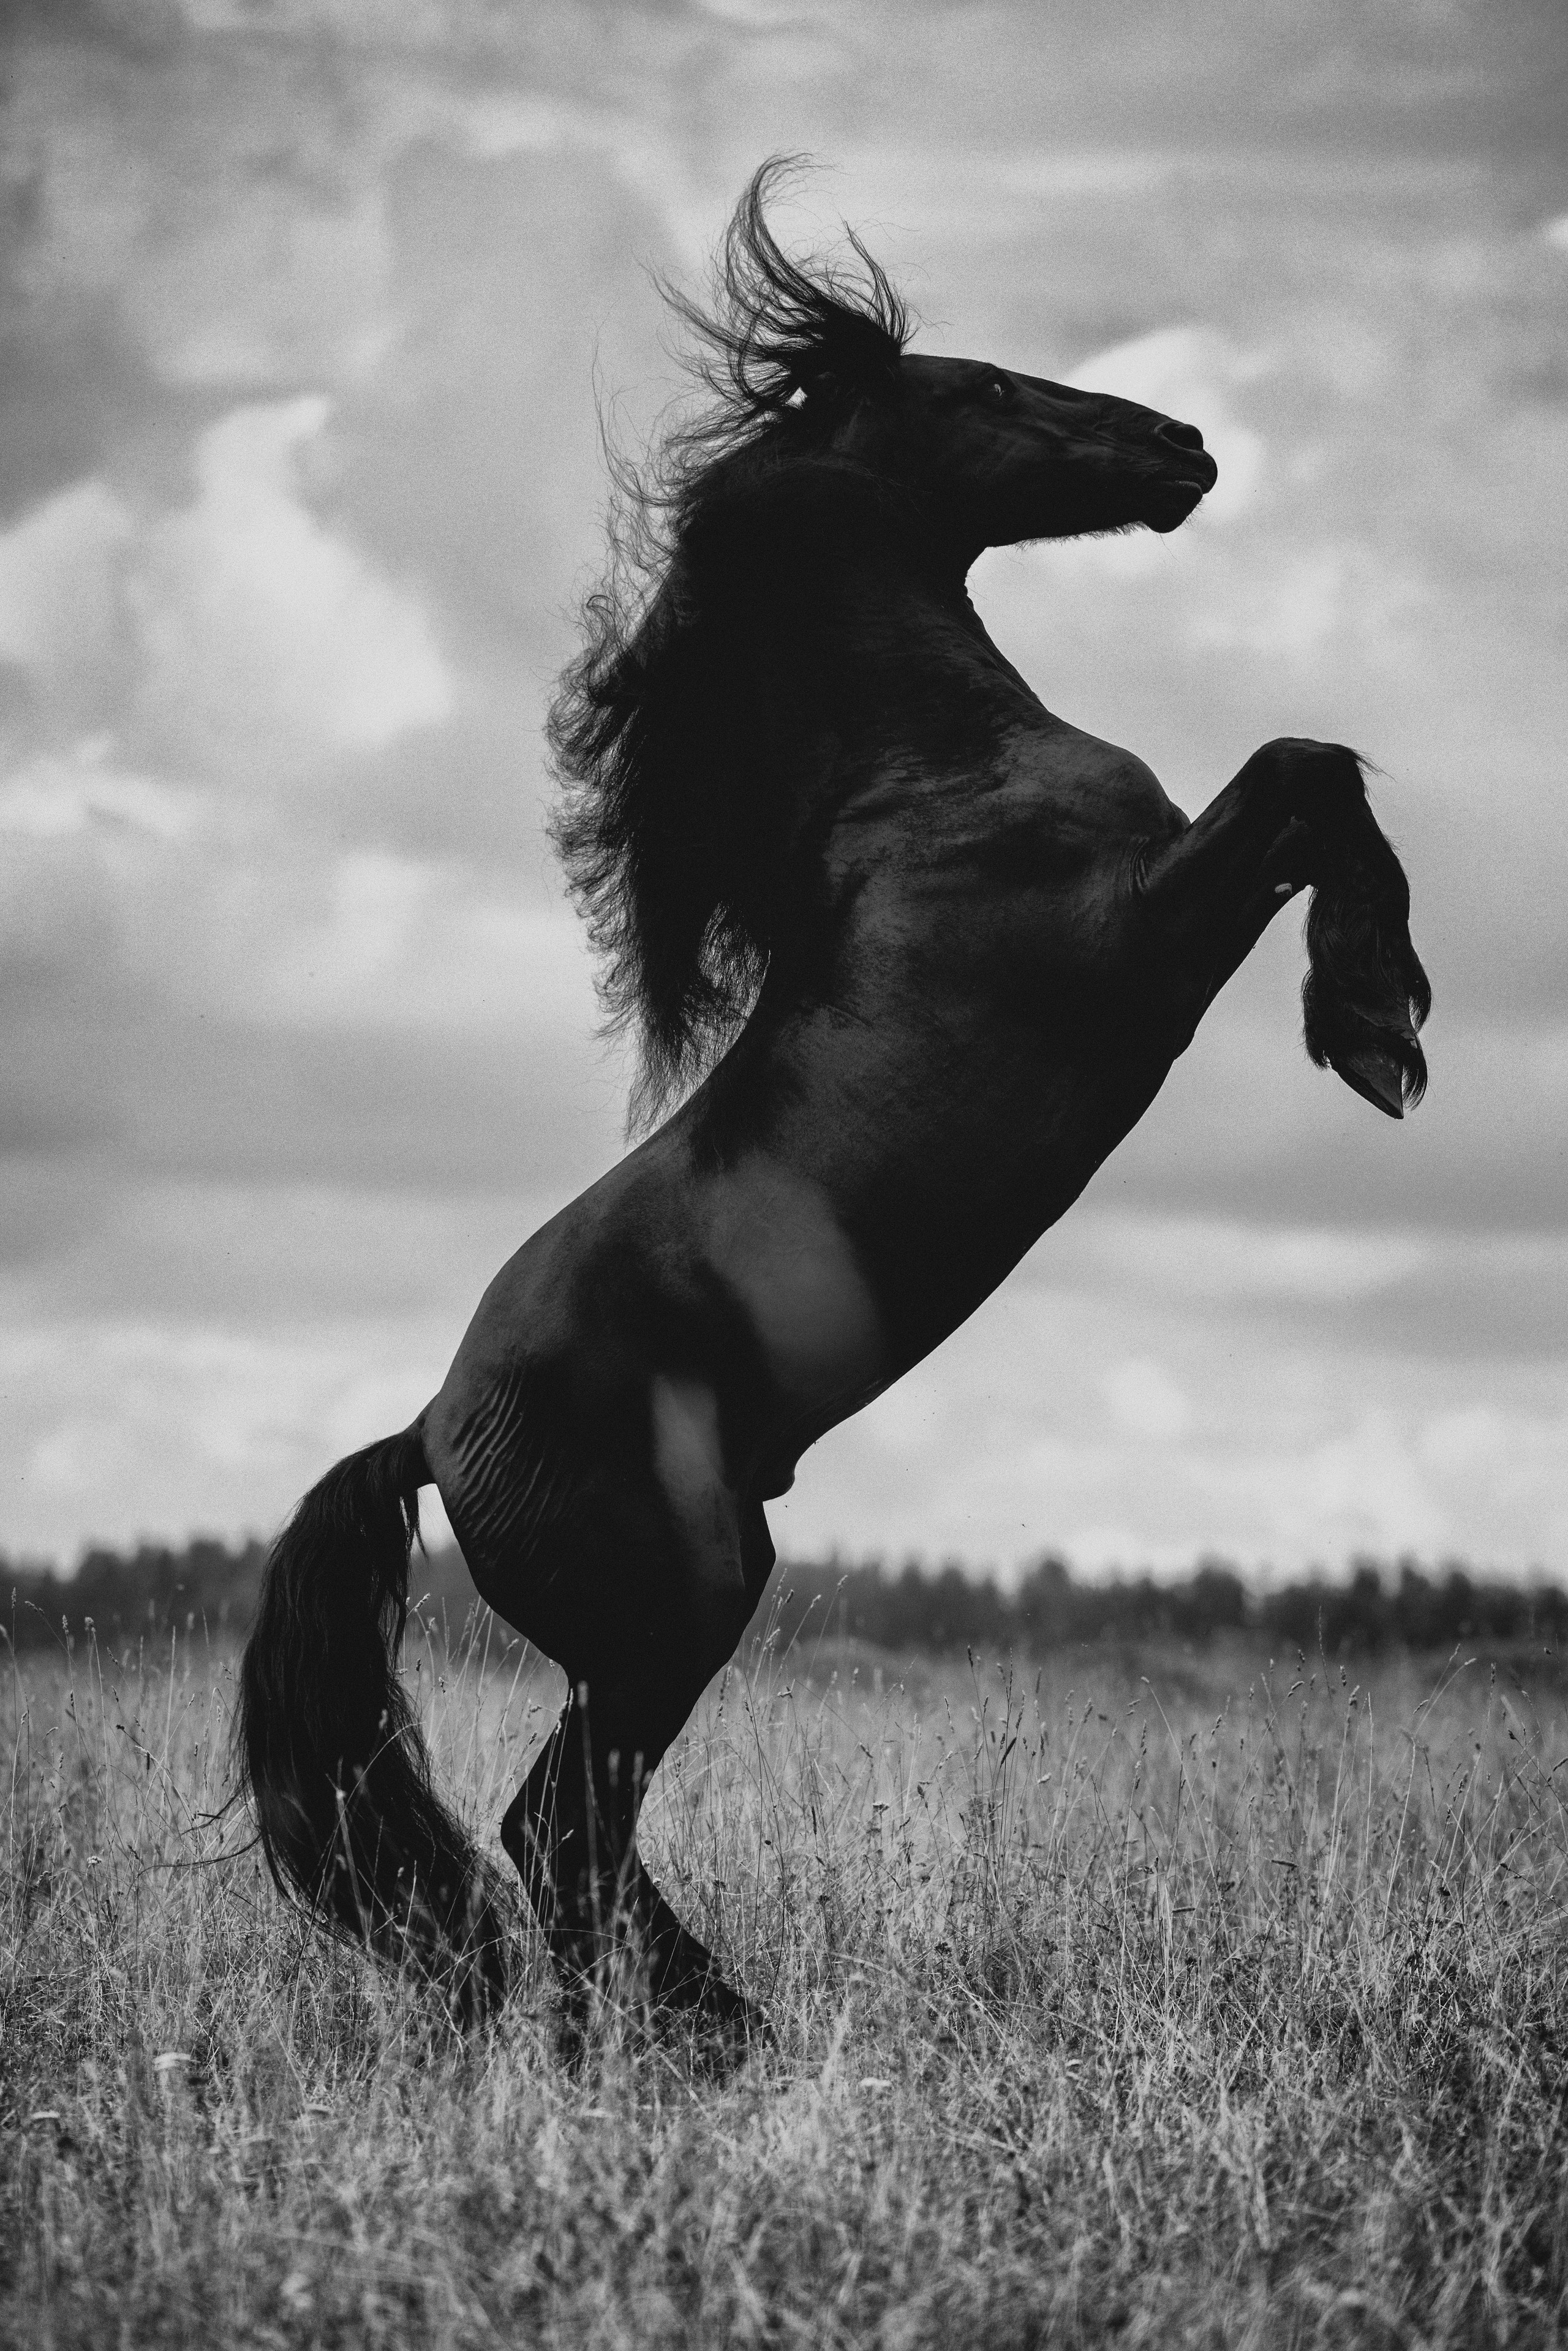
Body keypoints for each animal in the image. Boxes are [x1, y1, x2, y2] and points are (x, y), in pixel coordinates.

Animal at [237, 162, 1429, 2038]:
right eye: (989, 386)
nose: (1181, 441)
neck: (935, 782)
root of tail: (429, 1428)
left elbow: (1309, 777)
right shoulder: (1143, 929)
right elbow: (1301, 773)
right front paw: (1376, 1026)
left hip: (696, 1600)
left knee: (565, 1830)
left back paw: (695, 2022)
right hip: (672, 1609)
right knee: (558, 1823)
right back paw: (703, 2033)